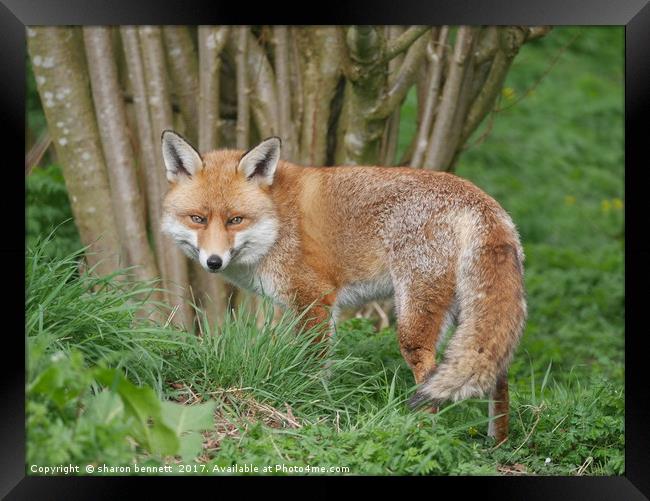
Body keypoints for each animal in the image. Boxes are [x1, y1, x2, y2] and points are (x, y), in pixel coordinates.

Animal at [159, 131, 524, 440]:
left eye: (235, 220)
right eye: (198, 219)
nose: (214, 261)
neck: (277, 222)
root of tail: (480, 198)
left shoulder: (315, 299)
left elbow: (314, 365)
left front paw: (309, 406)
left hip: (413, 323)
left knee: (431, 378)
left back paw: (423, 432)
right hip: (472, 315)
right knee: (498, 372)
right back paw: (497, 443)